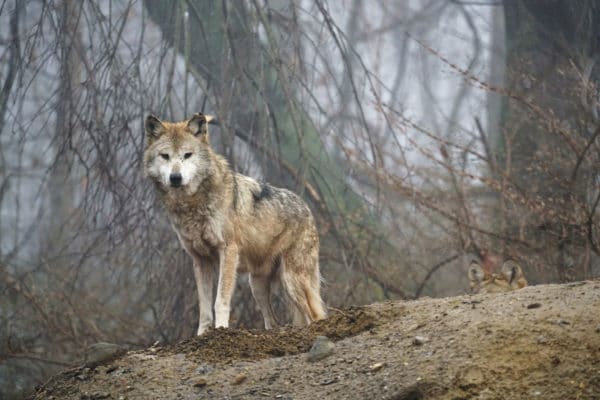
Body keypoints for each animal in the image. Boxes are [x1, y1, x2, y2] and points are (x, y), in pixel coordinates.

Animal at [143, 112, 326, 334]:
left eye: (187, 155)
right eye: (165, 156)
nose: (175, 177)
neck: (193, 204)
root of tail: (307, 209)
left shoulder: (228, 251)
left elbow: (220, 301)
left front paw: (221, 330)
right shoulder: (200, 260)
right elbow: (204, 309)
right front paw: (203, 335)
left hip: (291, 280)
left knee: (316, 315)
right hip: (257, 285)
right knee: (273, 321)